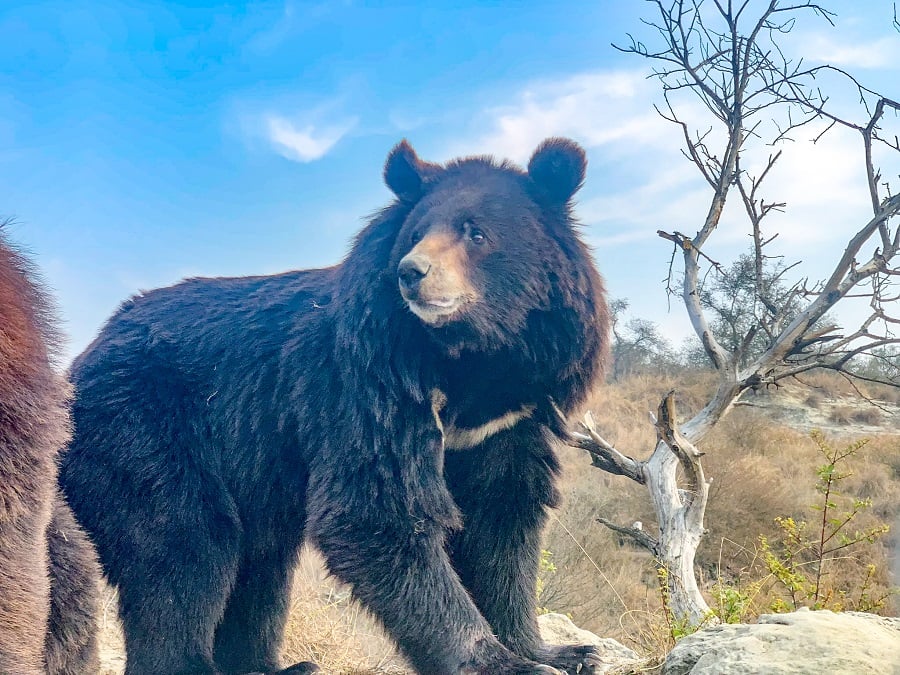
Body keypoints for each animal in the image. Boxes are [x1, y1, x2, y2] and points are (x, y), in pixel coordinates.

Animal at [59, 139, 612, 675]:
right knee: (183, 544)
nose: (411, 273)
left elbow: (503, 520)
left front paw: (563, 652)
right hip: (141, 428)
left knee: (258, 562)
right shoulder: (367, 383)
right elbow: (377, 508)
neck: (472, 358)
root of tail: (83, 358)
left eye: (476, 234)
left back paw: (278, 666)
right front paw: (504, 663)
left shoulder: (515, 413)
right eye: (414, 235)